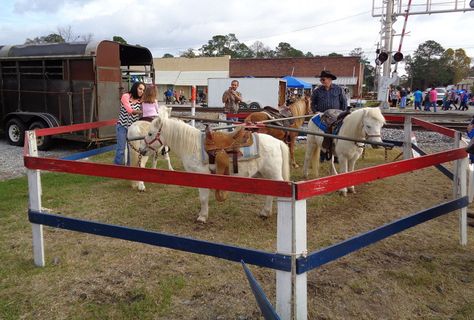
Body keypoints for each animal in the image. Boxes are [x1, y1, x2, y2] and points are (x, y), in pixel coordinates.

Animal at [139, 107, 290, 222]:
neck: (193, 146)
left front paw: (202, 217)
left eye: (150, 133)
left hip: (273, 174)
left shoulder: (202, 176)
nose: (141, 150)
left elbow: (203, 198)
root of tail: (277, 142)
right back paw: (265, 212)